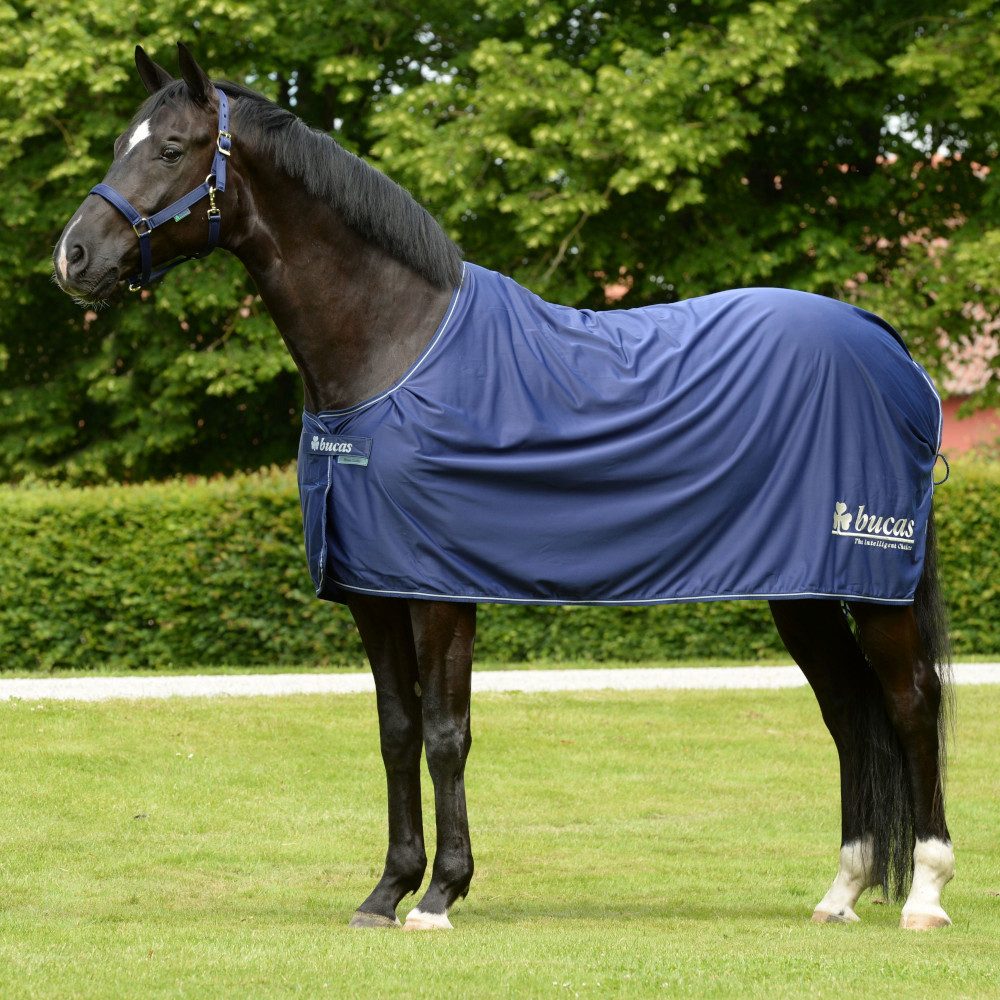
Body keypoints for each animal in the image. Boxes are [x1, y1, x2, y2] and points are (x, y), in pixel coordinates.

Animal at [53, 43, 955, 932]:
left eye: (171, 149)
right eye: (119, 144)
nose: (72, 257)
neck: (393, 348)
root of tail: (888, 347)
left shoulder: (440, 591)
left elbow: (446, 733)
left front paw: (441, 894)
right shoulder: (374, 589)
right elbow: (396, 730)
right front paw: (387, 891)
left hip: (872, 583)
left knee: (910, 704)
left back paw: (925, 893)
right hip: (803, 590)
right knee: (849, 712)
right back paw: (842, 891)